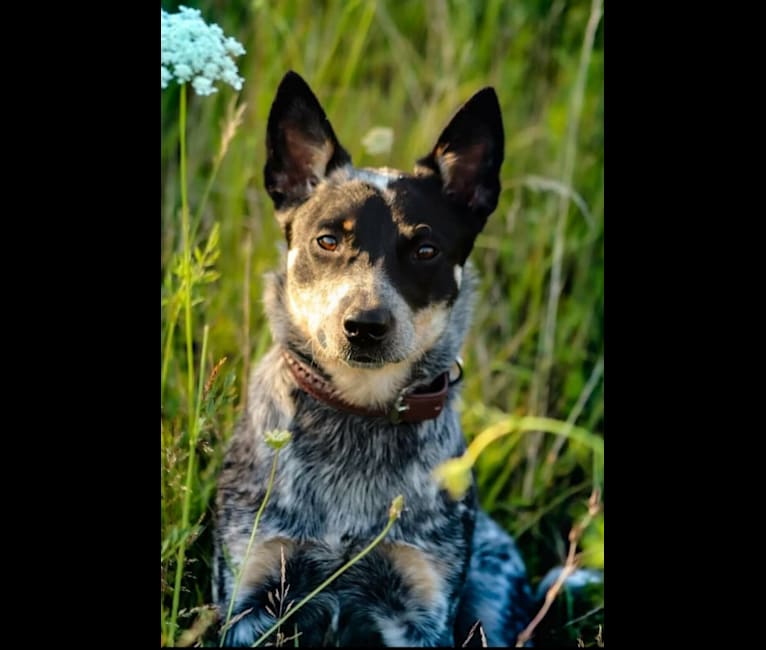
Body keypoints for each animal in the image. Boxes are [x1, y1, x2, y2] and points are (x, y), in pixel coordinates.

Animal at [210, 68, 536, 644]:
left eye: (425, 250)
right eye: (327, 241)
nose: (364, 326)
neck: (358, 413)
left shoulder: (421, 611)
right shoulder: (249, 597)